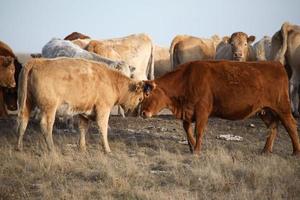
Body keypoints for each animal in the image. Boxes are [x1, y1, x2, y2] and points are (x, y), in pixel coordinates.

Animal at [16, 57, 148, 153]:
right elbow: (103, 128)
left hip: (27, 103)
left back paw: (19, 147)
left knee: (23, 121)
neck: (112, 81)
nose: (133, 112)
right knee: (46, 126)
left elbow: (83, 128)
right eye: (140, 98)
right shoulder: (103, 110)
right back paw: (52, 149)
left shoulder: (84, 112)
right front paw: (107, 149)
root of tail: (37, 61)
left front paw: (82, 147)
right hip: (49, 108)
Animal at [141, 60, 300, 155]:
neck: (187, 79)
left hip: (283, 108)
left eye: (148, 94)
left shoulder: (202, 111)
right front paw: (192, 147)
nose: (142, 113)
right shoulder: (188, 112)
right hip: (265, 111)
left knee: (291, 125)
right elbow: (187, 129)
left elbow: (199, 131)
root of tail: (276, 64)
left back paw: (295, 152)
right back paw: (266, 150)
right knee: (273, 126)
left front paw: (196, 151)